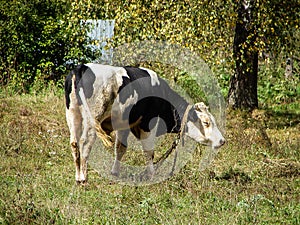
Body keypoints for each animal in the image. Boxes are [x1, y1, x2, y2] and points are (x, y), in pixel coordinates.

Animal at [65, 63, 225, 185]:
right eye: (206, 122)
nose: (222, 141)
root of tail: (82, 67)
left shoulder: (125, 124)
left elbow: (120, 148)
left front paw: (115, 172)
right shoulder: (148, 123)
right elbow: (149, 151)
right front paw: (152, 175)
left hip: (72, 114)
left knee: (74, 143)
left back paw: (77, 177)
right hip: (93, 117)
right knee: (85, 142)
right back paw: (83, 178)